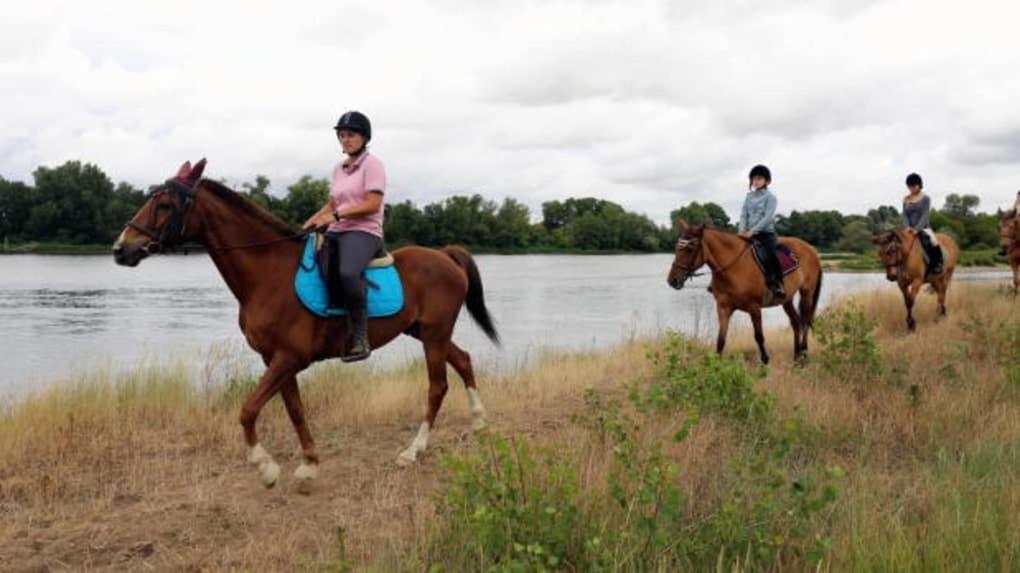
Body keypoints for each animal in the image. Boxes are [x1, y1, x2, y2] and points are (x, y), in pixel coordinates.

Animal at [112, 159, 501, 485]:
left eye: (165, 205)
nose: (120, 249)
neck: (268, 273)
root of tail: (444, 256)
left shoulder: (289, 358)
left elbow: (248, 409)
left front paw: (265, 466)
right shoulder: (275, 359)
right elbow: (295, 410)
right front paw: (310, 463)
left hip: (433, 335)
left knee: (437, 386)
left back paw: (413, 450)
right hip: (424, 332)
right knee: (463, 360)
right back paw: (480, 421)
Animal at [665, 221, 824, 362]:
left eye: (690, 249)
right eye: (676, 248)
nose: (672, 280)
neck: (733, 268)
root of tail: (811, 249)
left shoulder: (754, 308)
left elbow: (759, 336)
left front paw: (765, 363)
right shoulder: (723, 308)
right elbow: (721, 340)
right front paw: (716, 365)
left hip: (807, 293)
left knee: (805, 321)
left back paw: (804, 354)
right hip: (787, 299)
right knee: (796, 323)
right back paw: (796, 357)